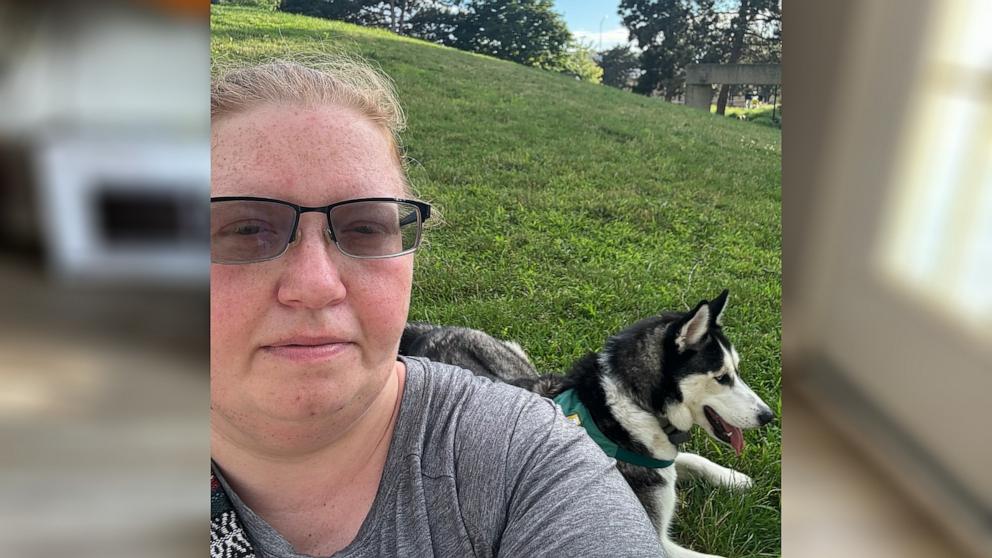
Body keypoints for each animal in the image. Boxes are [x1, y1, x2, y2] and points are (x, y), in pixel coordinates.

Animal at [402, 294, 776, 558]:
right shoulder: (655, 538)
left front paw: (735, 479)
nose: (768, 416)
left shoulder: (660, 461)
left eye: (737, 371)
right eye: (722, 378)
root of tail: (424, 331)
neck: (629, 409)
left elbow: (691, 459)